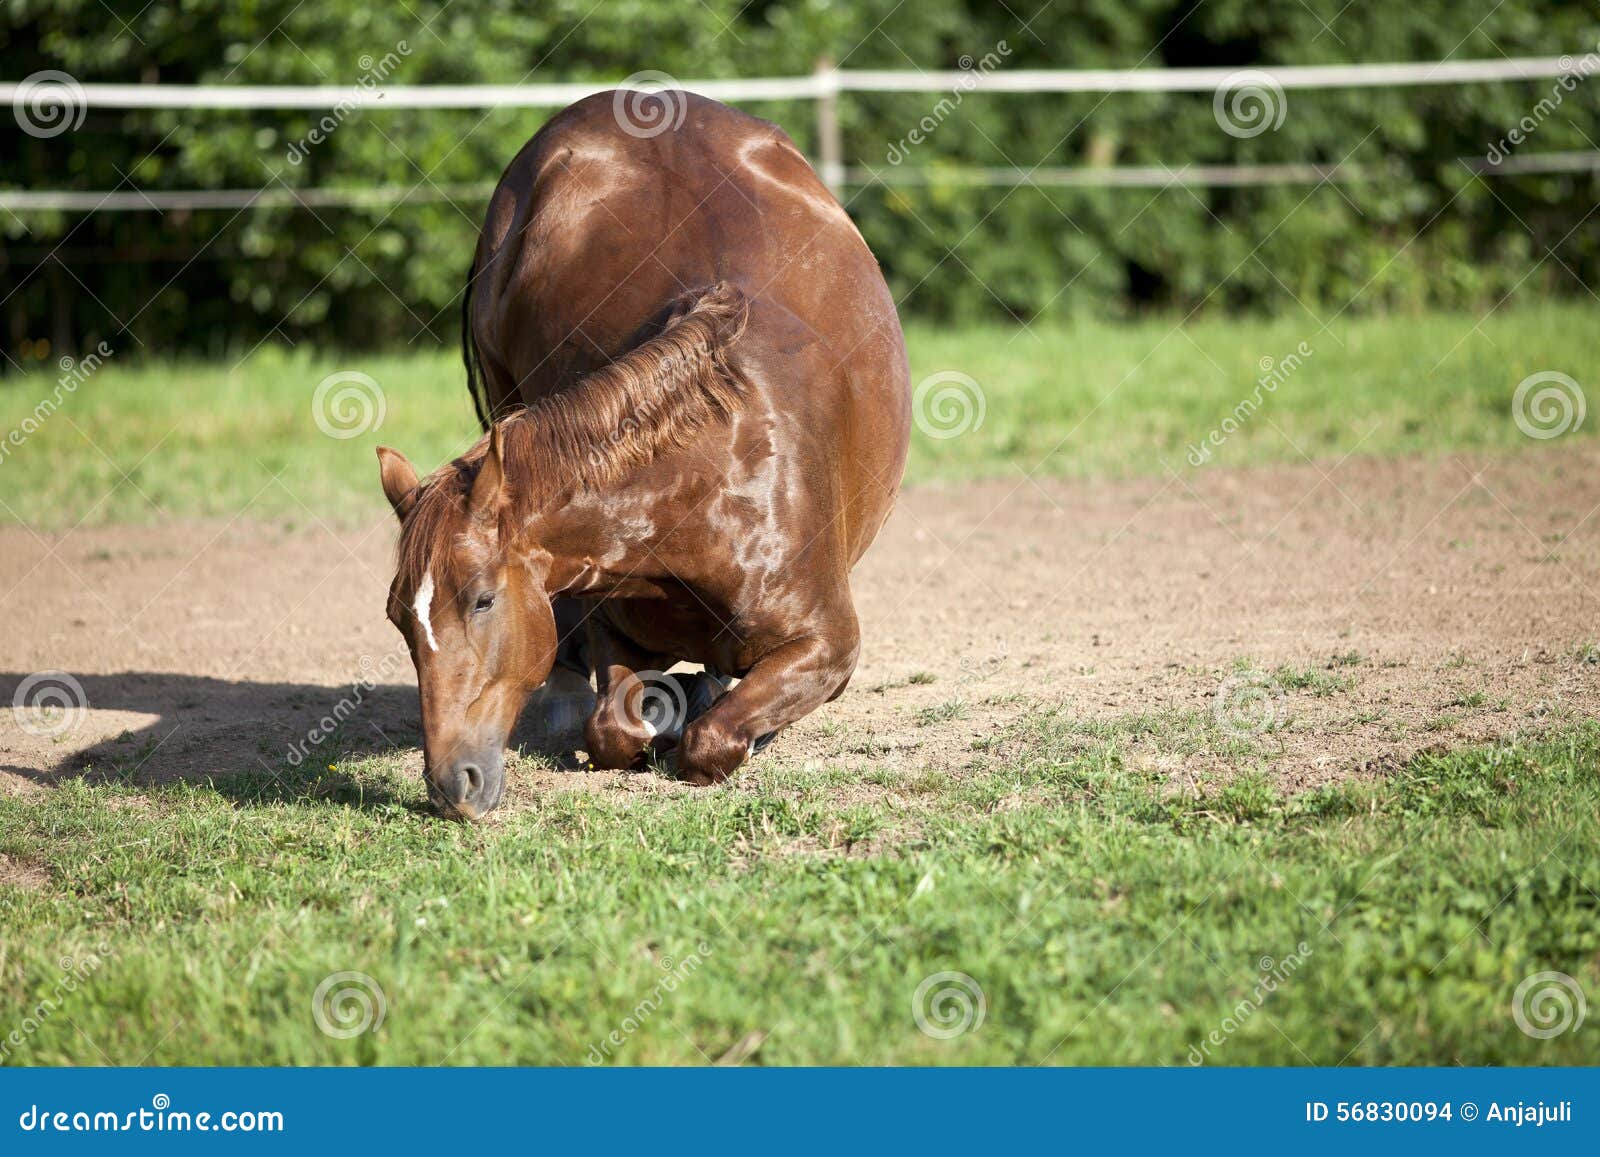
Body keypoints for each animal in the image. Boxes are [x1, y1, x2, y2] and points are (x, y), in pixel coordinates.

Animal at [376, 89, 910, 820]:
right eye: (398, 617)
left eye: (483, 600)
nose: (453, 784)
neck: (711, 489)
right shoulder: (612, 627)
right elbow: (614, 728)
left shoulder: (828, 646)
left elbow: (709, 740)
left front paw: (706, 711)